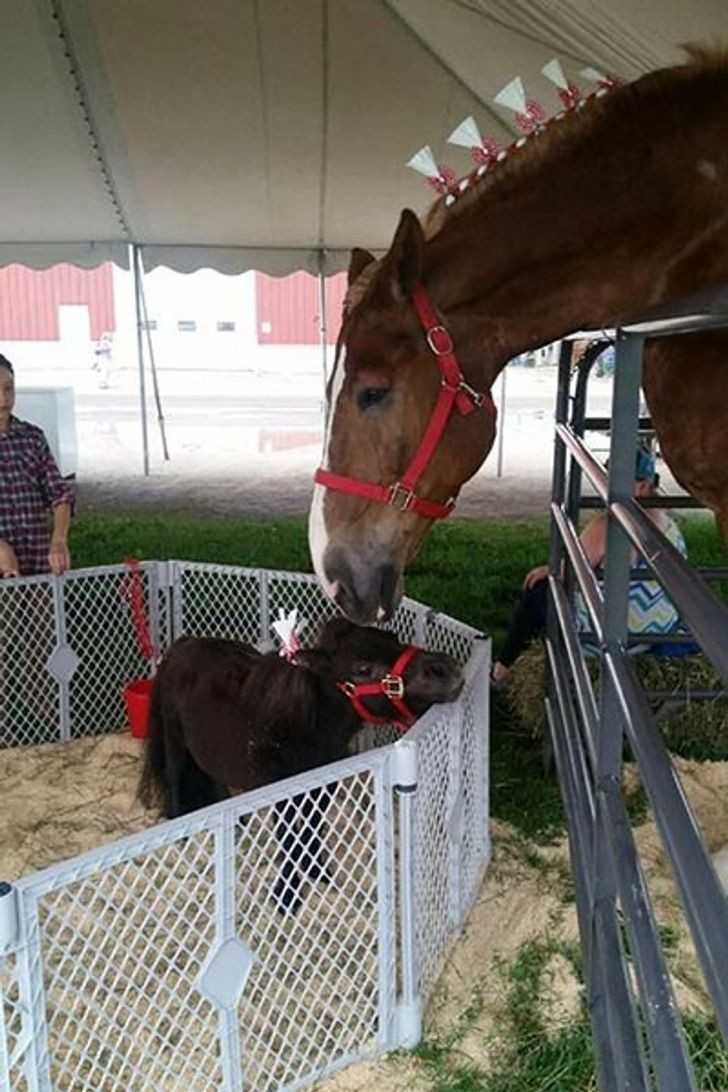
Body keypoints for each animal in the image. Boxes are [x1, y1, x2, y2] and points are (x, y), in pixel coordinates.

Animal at [136, 620, 460, 908]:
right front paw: (286, 898)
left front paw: (319, 875)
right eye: (362, 669)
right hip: (174, 738)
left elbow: (312, 828)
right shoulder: (282, 794)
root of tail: (184, 643)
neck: (303, 725)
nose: (445, 669)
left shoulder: (321, 787)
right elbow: (289, 836)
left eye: (393, 637)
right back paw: (181, 836)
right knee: (175, 777)